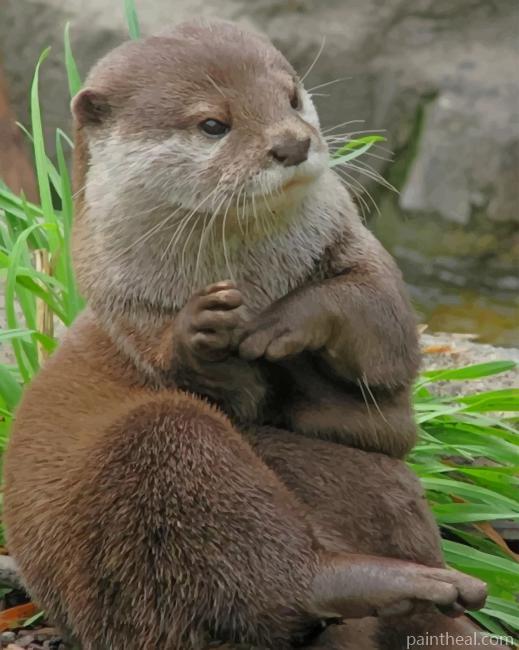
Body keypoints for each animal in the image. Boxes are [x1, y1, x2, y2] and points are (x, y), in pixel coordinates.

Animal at [4, 20, 499, 650]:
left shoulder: (357, 255)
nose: (292, 143)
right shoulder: (129, 314)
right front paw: (200, 331)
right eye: (213, 124)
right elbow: (193, 367)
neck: (251, 276)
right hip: (157, 463)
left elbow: (383, 345)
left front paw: (288, 322)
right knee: (267, 569)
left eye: (291, 98)